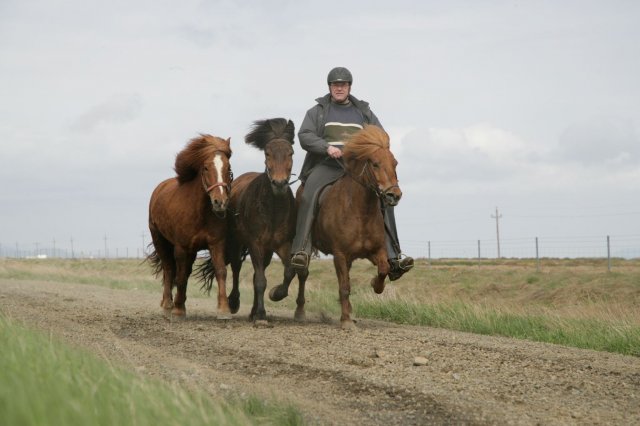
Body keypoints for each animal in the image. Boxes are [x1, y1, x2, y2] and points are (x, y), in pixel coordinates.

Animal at [147, 135, 232, 318]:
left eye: (228, 168)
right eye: (206, 168)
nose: (220, 202)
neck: (199, 211)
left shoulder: (216, 244)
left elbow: (220, 271)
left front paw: (224, 309)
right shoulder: (181, 247)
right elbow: (179, 277)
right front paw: (178, 309)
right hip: (160, 241)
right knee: (169, 269)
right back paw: (168, 304)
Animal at [201, 118, 308, 324]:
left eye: (291, 153)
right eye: (267, 153)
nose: (279, 183)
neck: (273, 208)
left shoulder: (282, 244)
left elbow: (288, 271)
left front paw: (276, 294)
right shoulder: (255, 244)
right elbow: (259, 280)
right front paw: (261, 315)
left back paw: (252, 311)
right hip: (236, 242)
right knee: (236, 267)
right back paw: (234, 302)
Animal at [270, 123, 400, 330]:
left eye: (394, 163)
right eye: (375, 163)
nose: (394, 195)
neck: (360, 212)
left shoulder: (377, 251)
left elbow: (383, 270)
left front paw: (374, 285)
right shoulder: (340, 255)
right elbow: (344, 287)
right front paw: (346, 321)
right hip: (305, 246)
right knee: (301, 272)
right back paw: (295, 307)